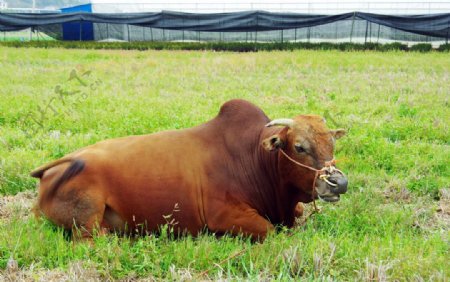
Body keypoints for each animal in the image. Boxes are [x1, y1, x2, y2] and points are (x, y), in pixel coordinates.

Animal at [31, 98, 348, 240]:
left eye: (332, 143)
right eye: (299, 147)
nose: (340, 183)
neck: (254, 158)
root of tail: (51, 170)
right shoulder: (223, 217)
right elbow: (270, 231)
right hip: (88, 221)